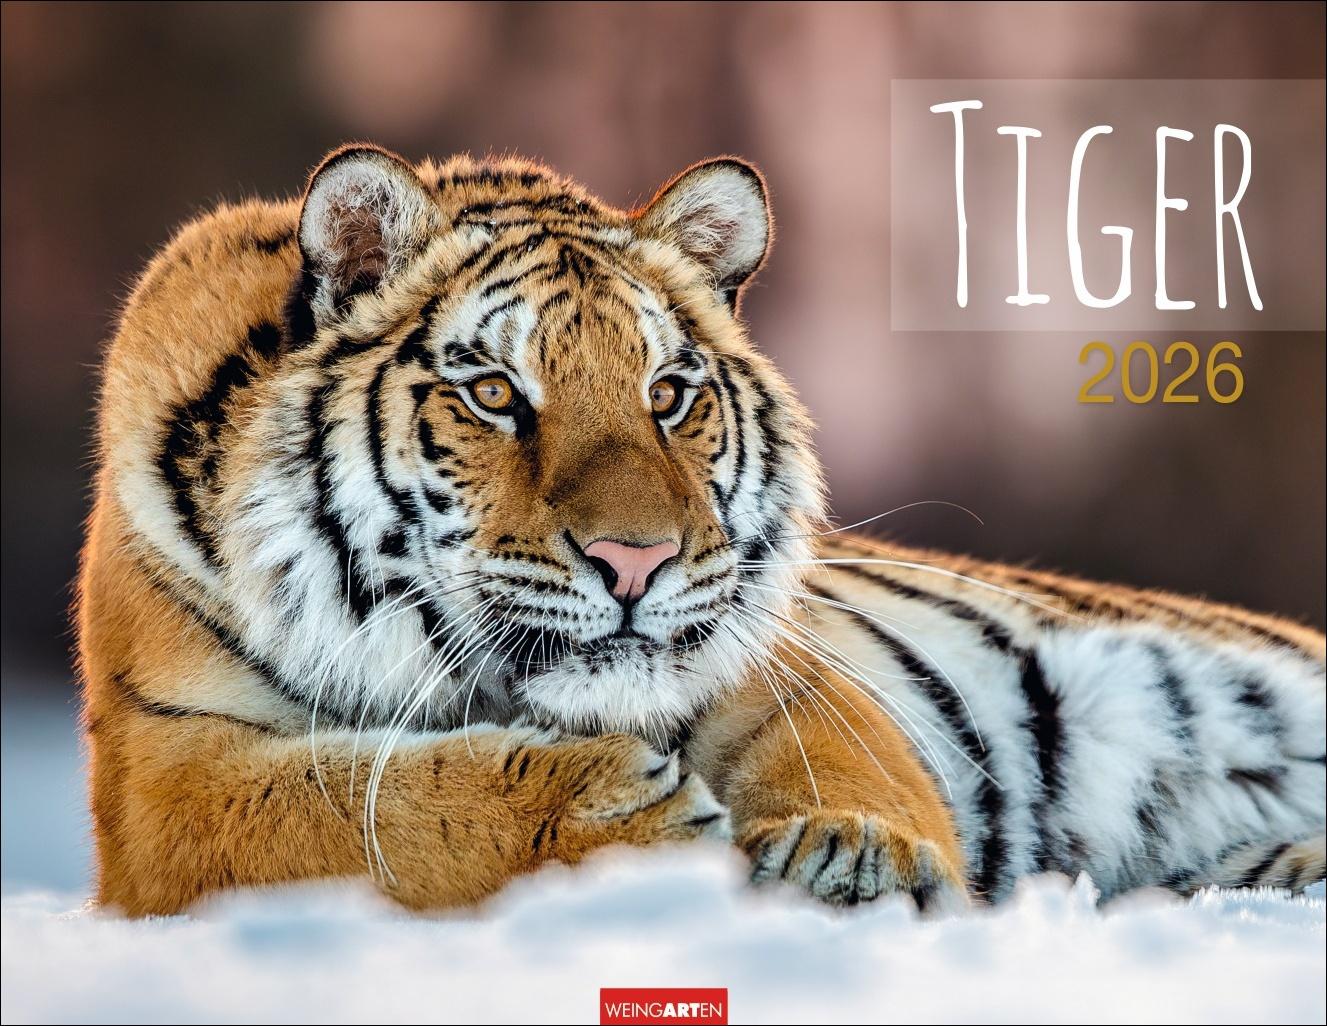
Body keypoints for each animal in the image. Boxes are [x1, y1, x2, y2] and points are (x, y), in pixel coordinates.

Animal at [77, 144, 1326, 917]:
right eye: (495, 394)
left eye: (669, 393)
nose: (637, 562)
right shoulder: (164, 775)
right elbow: (359, 812)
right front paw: (614, 813)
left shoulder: (785, 664)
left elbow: (838, 756)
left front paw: (854, 855)